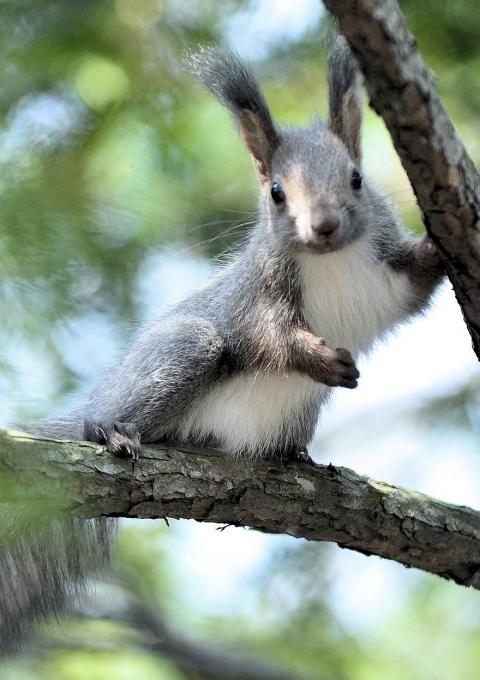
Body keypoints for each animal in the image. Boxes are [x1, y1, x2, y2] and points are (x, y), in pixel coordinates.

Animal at [3, 37, 446, 652]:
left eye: (357, 178)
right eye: (276, 192)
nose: (324, 225)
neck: (331, 259)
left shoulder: (388, 273)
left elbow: (417, 286)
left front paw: (441, 243)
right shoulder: (259, 292)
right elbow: (269, 336)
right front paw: (319, 358)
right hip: (185, 350)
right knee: (126, 402)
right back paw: (111, 430)